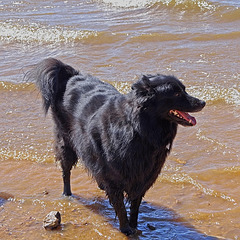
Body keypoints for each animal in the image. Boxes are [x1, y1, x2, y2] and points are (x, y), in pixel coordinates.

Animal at [27, 58, 204, 234]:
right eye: (176, 93)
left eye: (184, 90)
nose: (203, 102)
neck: (138, 128)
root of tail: (70, 75)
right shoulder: (114, 175)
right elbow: (120, 205)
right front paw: (126, 229)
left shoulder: (143, 175)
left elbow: (135, 204)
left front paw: (134, 225)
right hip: (66, 142)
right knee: (66, 171)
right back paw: (67, 194)